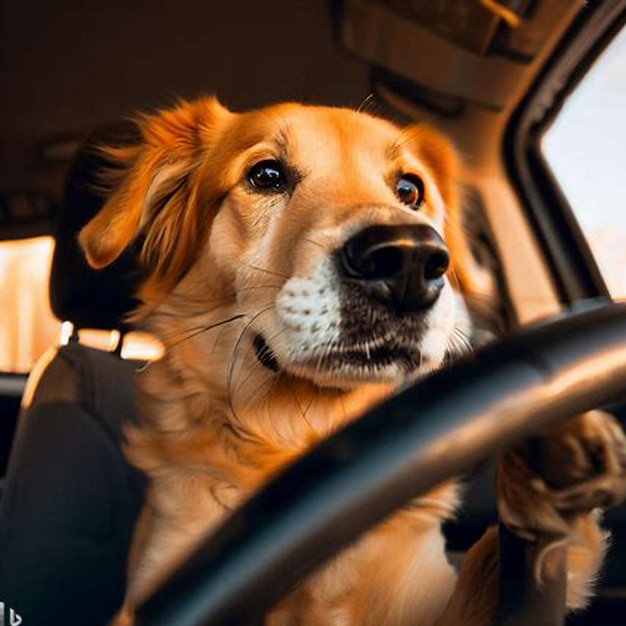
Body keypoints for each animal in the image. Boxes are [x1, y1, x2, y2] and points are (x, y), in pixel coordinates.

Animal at [79, 95, 624, 620]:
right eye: (266, 175)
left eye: (409, 189)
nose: (408, 260)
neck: (305, 432)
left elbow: (485, 564)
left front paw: (556, 438)